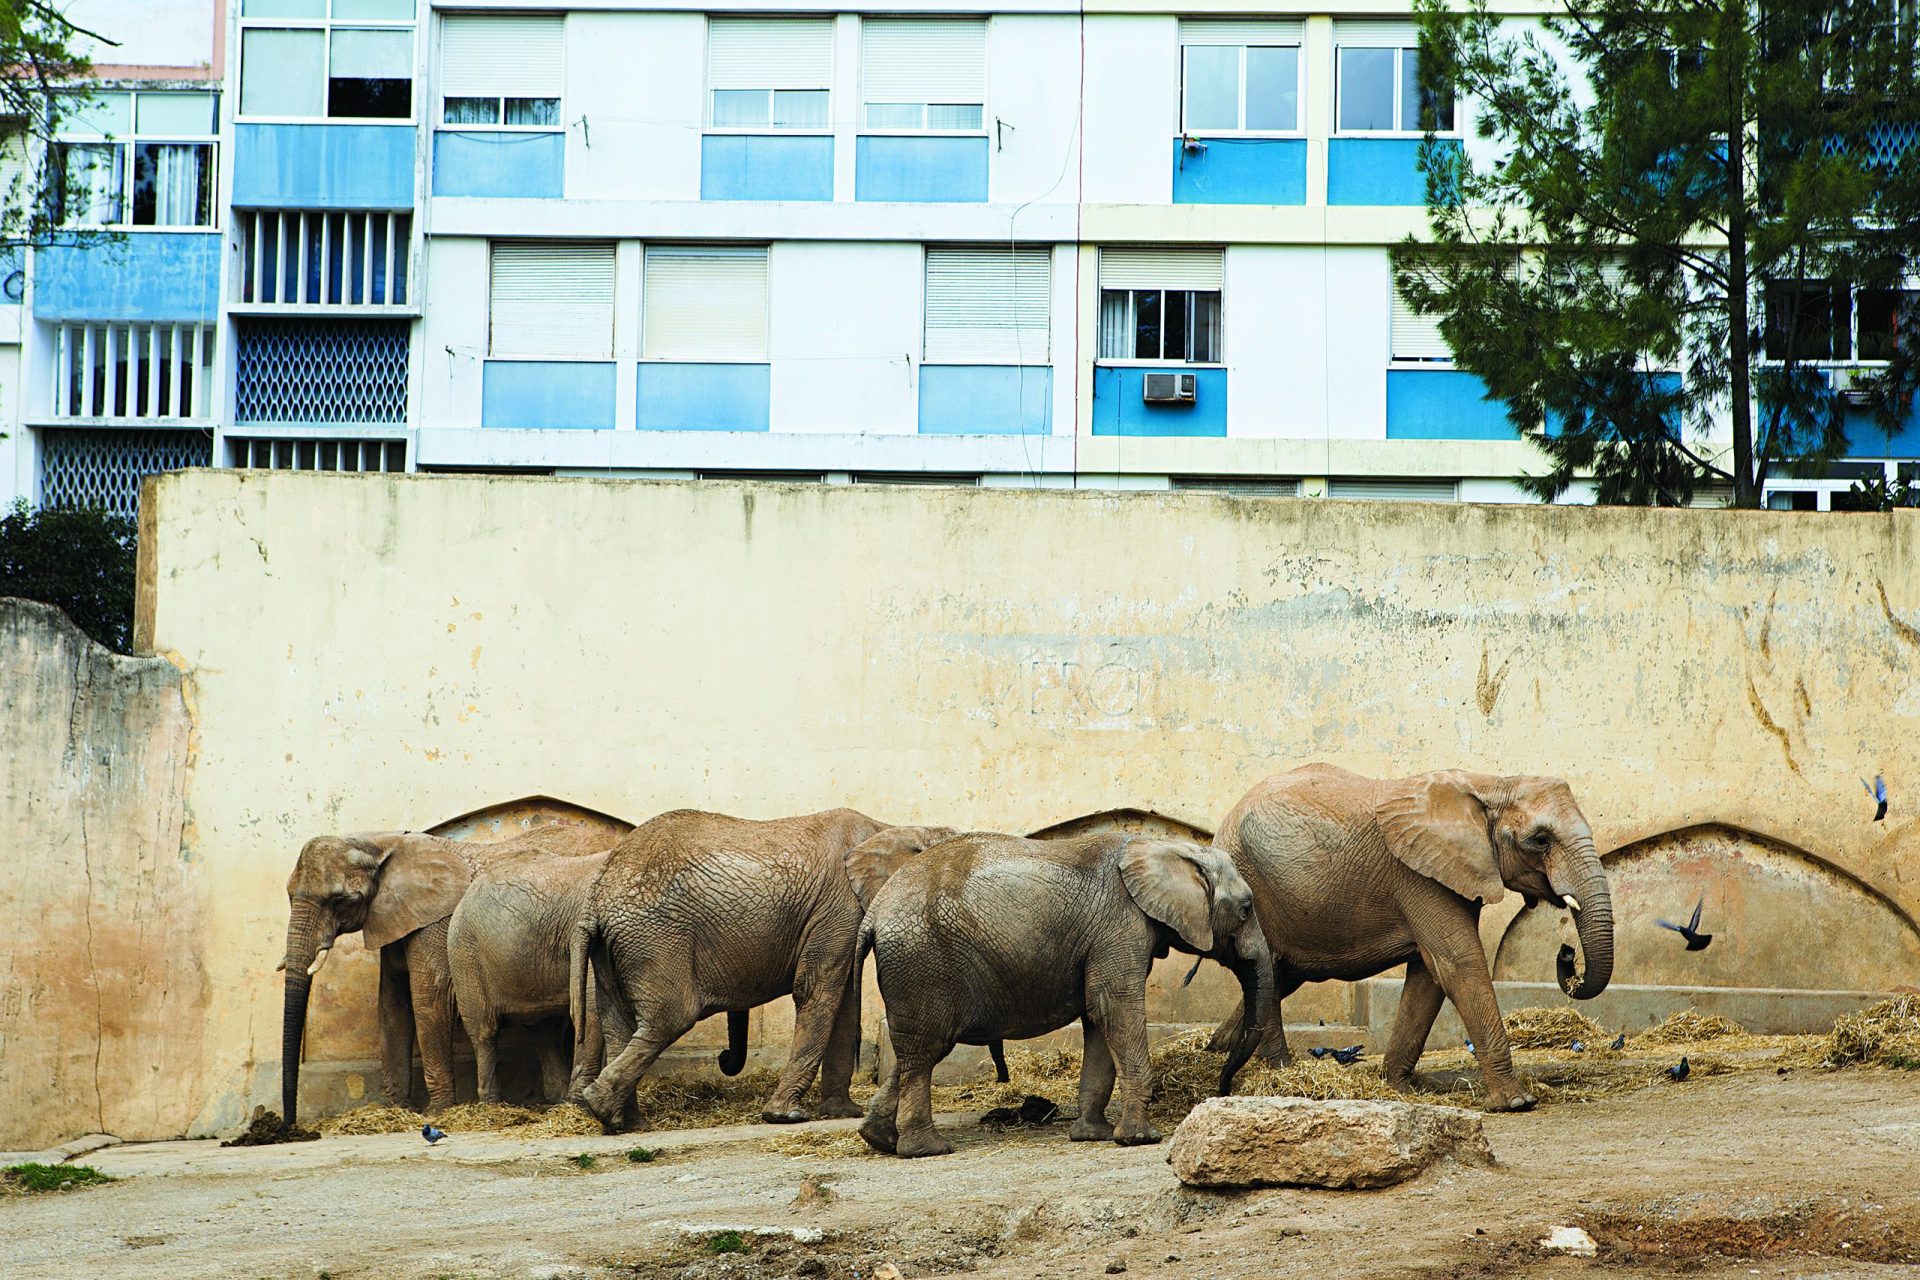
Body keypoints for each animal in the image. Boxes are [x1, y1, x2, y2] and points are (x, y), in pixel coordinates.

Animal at [276, 825, 606, 1128]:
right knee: (545, 1026)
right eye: (289, 895)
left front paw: (436, 1112)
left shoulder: (433, 922)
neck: (379, 841)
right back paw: (556, 1100)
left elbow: (429, 1001)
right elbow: (392, 1008)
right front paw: (399, 1110)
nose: (289, 1126)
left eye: (340, 900)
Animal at [568, 809, 960, 1128]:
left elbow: (842, 1002)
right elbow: (818, 989)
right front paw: (786, 1116)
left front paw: (843, 1112)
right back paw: (604, 1109)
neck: (891, 827)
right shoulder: (838, 906)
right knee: (671, 1016)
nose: (724, 1057)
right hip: (654, 936)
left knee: (619, 1022)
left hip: (614, 946)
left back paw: (624, 1122)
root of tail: (596, 896)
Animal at [864, 832, 1282, 1159]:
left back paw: (880, 1140)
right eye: (1246, 909)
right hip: (922, 965)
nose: (1222, 1089)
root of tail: (874, 912)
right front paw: (1139, 1139)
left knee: (917, 1049)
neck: (1162, 846)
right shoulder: (1120, 925)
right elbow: (1115, 1007)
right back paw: (927, 1149)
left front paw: (1093, 1135)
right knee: (925, 1050)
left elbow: (1098, 1016)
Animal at [1205, 767, 1612, 1113]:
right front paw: (1516, 1104)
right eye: (1540, 840)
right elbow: (1458, 964)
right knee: (1271, 971)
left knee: (1273, 976)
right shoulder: (1420, 877)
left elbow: (1429, 976)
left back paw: (1216, 1050)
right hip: (1254, 884)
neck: (1491, 784)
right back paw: (1281, 1072)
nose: (1567, 952)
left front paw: (1400, 1088)